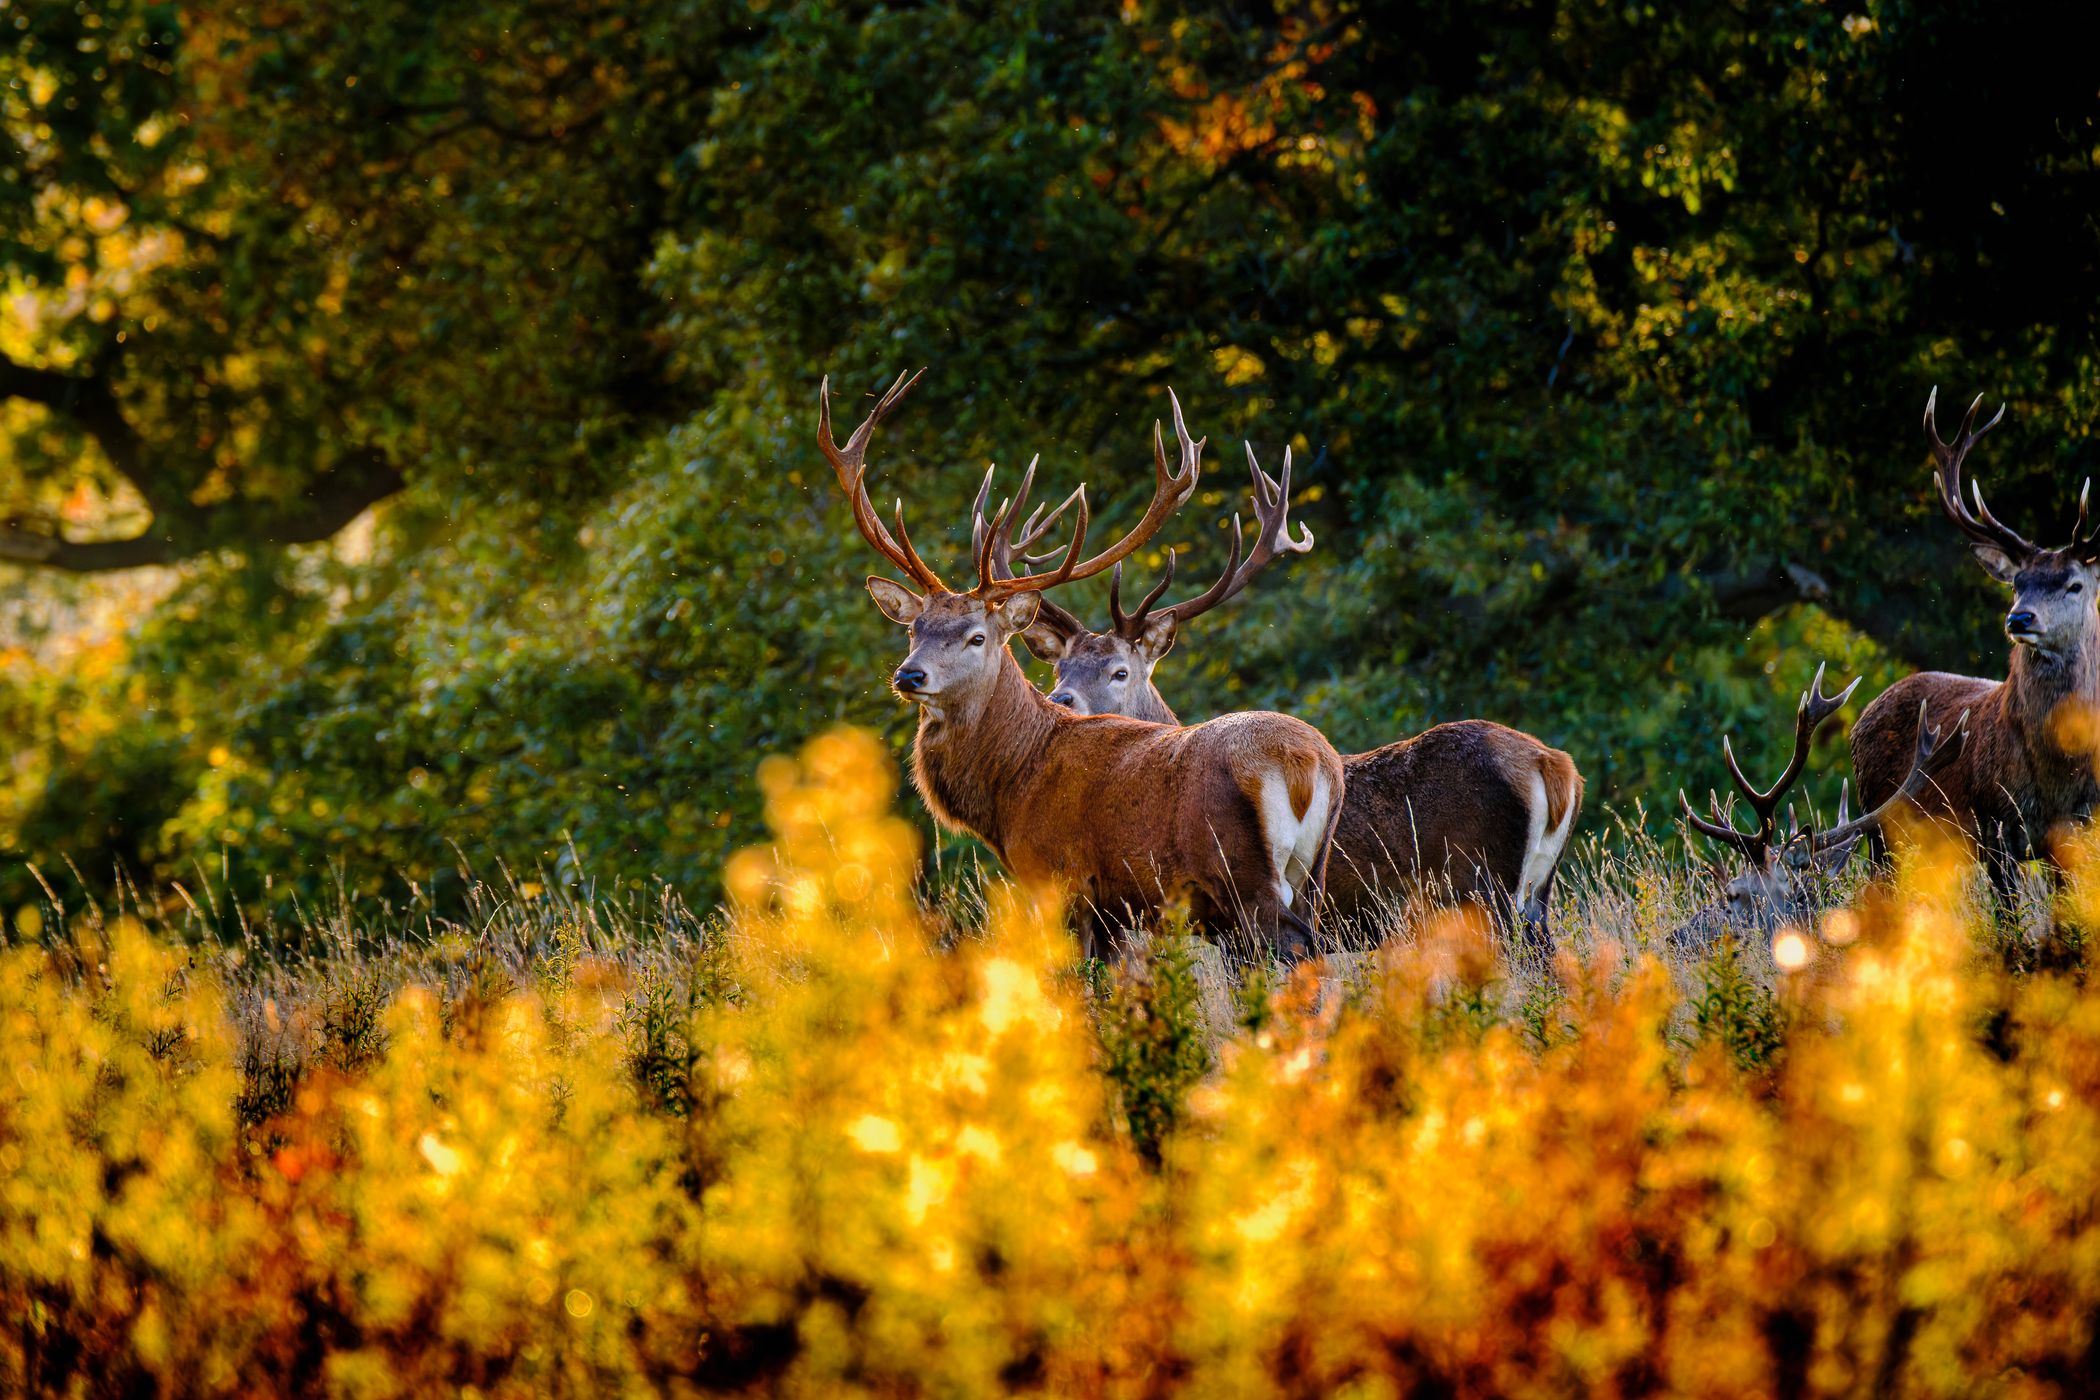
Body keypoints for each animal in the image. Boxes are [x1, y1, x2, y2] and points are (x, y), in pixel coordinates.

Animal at [820, 369, 1347, 963]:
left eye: (977, 637)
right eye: (915, 629)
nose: (910, 675)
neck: (1011, 789)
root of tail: (1307, 764)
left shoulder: (1061, 878)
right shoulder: (1116, 910)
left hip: (1243, 875)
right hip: (1313, 872)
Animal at [976, 424, 1584, 954]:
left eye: (1119, 671)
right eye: (1059, 670)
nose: (1061, 701)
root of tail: (1555, 768)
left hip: (1482, 886)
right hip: (1536, 893)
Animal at [1850, 389, 2100, 928]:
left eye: (2074, 583)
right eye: (2017, 582)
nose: (2019, 618)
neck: (2057, 777)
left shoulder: (2081, 829)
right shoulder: (1995, 827)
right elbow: (2010, 924)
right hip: (1877, 828)